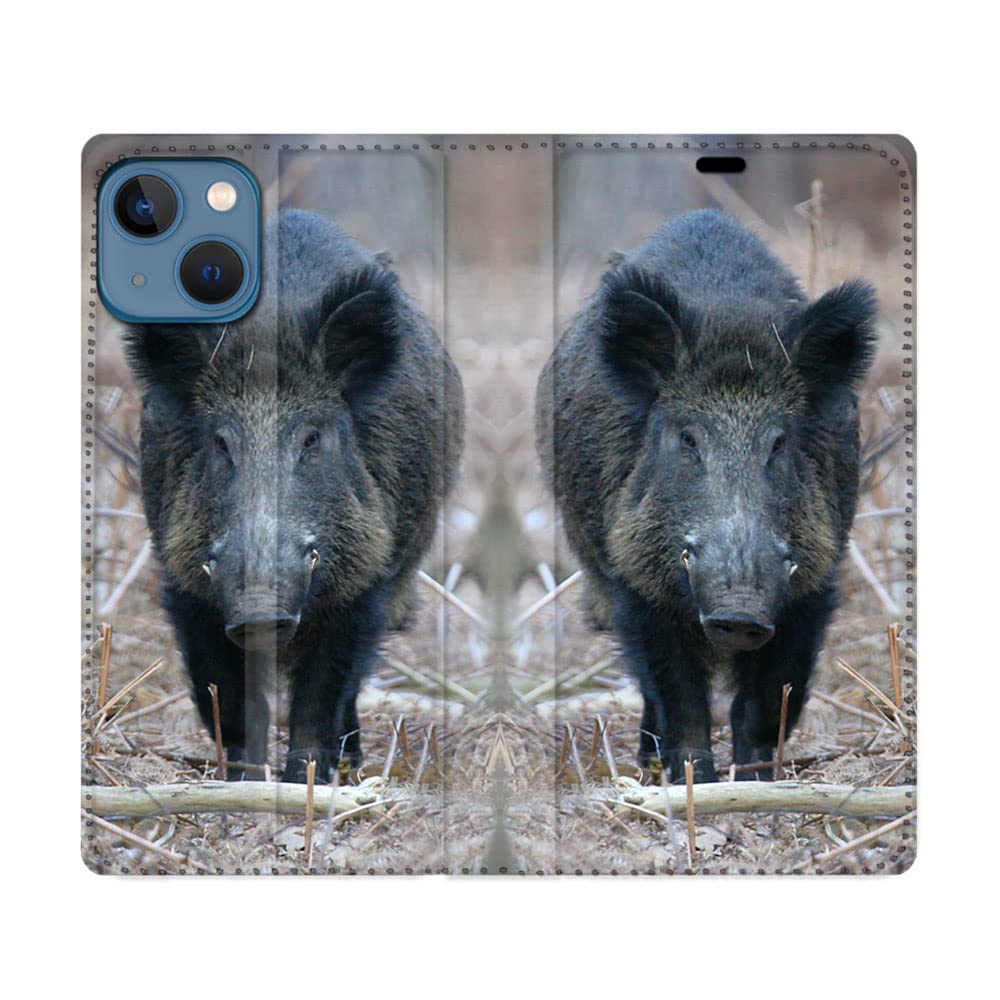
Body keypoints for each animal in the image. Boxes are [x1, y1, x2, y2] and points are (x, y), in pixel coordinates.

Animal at [125, 210, 464, 782]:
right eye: (221, 442)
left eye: (311, 439)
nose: (261, 608)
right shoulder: (186, 584)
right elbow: (222, 691)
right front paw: (243, 779)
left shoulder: (367, 582)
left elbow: (324, 690)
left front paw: (308, 775)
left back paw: (351, 760)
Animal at [536, 210, 878, 782]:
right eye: (688, 439)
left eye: (779, 442)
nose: (739, 611)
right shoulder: (634, 581)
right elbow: (677, 693)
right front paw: (691, 776)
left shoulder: (813, 584)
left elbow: (772, 695)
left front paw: (757, 779)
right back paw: (647, 761)